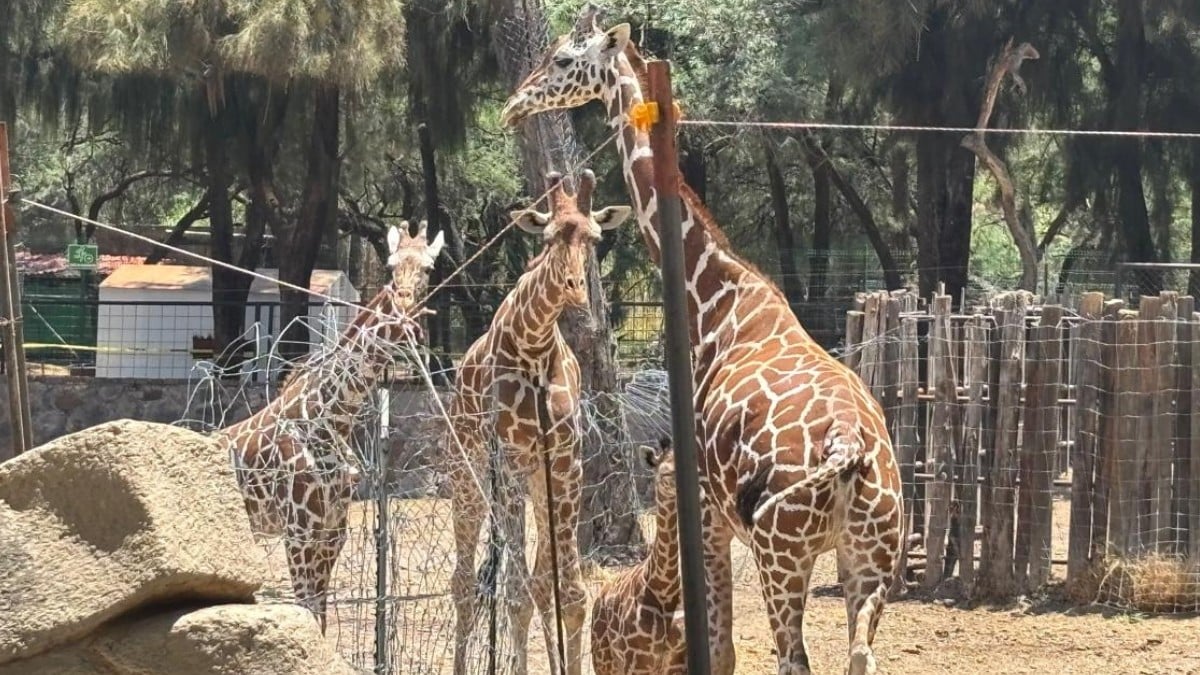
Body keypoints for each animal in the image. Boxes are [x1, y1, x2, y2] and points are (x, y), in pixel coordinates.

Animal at [215, 221, 444, 632]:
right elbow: (307, 613)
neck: (333, 416)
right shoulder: (300, 532)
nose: (403, 310)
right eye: (390, 267)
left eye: (429, 269)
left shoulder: (332, 531)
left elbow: (319, 619)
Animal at [444, 169, 630, 675]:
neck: (535, 343)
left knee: (540, 581)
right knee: (466, 582)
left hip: (537, 483)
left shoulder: (565, 464)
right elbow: (516, 594)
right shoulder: (508, 462)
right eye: (548, 238)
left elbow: (567, 592)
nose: (574, 290)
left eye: (595, 237)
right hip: (467, 475)